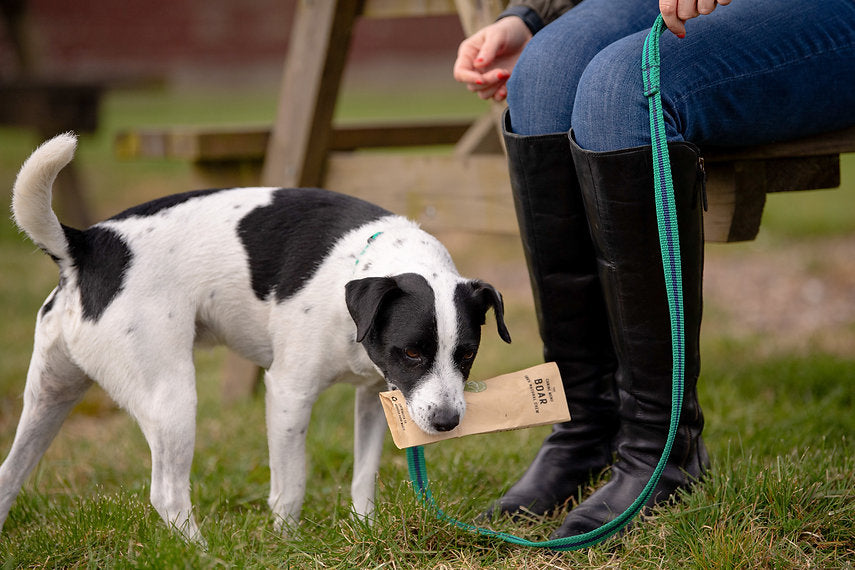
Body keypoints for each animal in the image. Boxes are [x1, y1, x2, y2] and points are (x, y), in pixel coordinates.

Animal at [0, 133, 508, 540]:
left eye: (467, 354)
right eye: (412, 352)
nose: (447, 422)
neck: (359, 270)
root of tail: (85, 246)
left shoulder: (375, 395)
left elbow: (364, 476)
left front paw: (366, 529)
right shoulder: (288, 394)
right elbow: (290, 486)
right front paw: (288, 544)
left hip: (50, 397)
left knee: (8, 477)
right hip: (171, 401)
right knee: (167, 494)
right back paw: (201, 554)